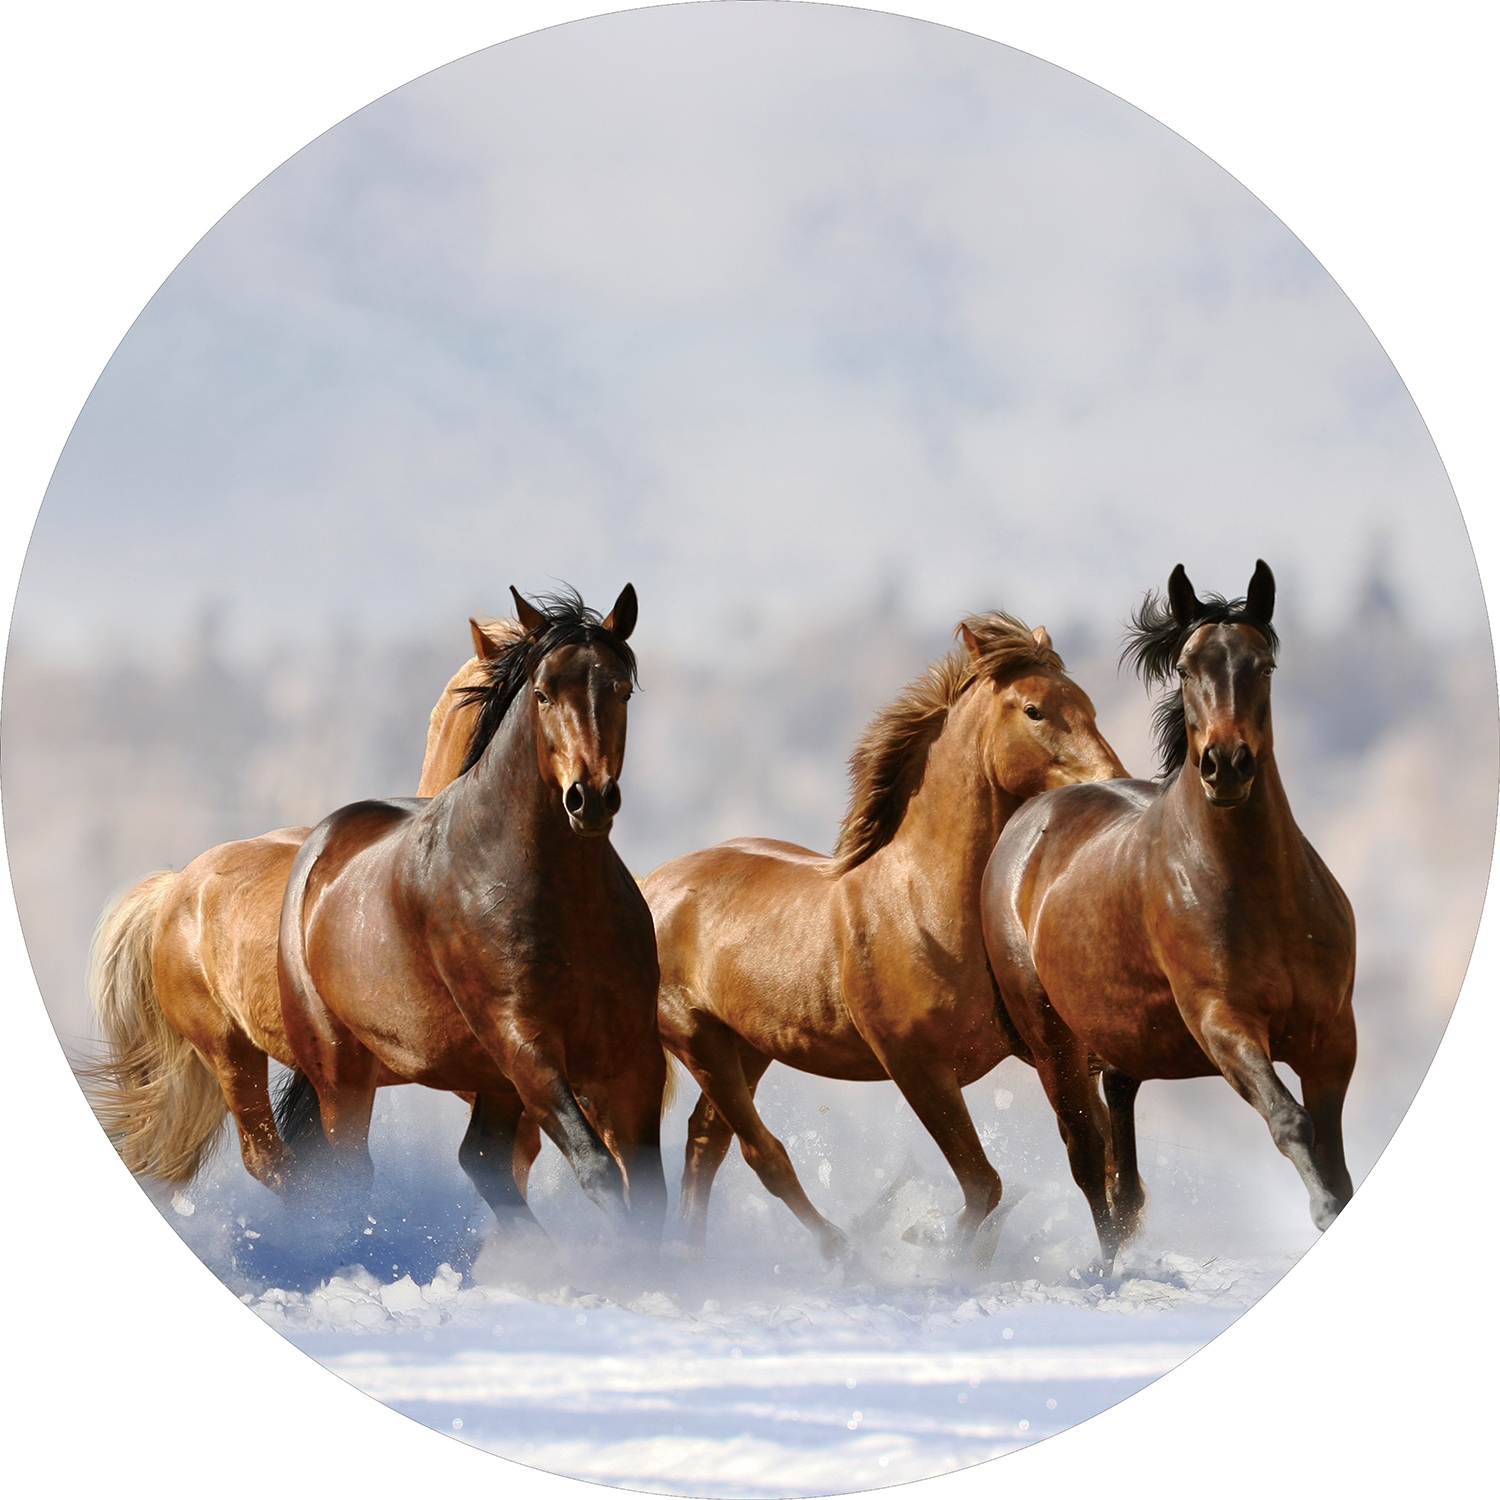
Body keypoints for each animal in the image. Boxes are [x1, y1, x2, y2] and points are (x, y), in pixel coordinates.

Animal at [277, 585, 667, 1243]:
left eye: (621, 689)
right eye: (543, 692)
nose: (590, 798)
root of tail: (319, 848)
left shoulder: (633, 1056)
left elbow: (648, 1189)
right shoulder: (526, 1046)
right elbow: (598, 1170)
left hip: (488, 1079)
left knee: (483, 1159)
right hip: (342, 1073)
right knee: (350, 1175)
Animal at [642, 611, 1127, 1263]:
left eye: (1088, 705)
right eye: (1034, 710)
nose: (1113, 785)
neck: (924, 906)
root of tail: (650, 886)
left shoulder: (1057, 1051)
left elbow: (1091, 1156)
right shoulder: (916, 1067)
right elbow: (984, 1185)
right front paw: (932, 1246)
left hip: (748, 1045)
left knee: (704, 1145)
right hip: (699, 1040)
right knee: (761, 1154)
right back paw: (843, 1255)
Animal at [980, 562, 1357, 1268]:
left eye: (1264, 665)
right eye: (1184, 667)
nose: (1226, 765)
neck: (1259, 891)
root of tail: (1025, 825)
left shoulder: (1332, 1037)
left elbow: (1333, 1150)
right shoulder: (1223, 1023)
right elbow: (1290, 1119)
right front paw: (1322, 1213)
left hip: (1121, 1033)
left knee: (1120, 1139)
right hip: (1053, 1044)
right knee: (1086, 1156)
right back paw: (1107, 1268)